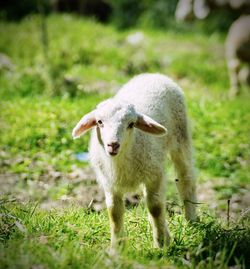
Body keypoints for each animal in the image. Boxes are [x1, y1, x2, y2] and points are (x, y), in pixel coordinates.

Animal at [72, 73, 197, 247]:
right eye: (99, 122)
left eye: (131, 124)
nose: (113, 144)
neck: (120, 163)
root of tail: (153, 74)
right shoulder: (110, 183)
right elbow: (114, 213)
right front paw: (117, 247)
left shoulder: (155, 175)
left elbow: (155, 208)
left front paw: (161, 243)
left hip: (180, 136)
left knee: (186, 179)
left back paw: (192, 221)